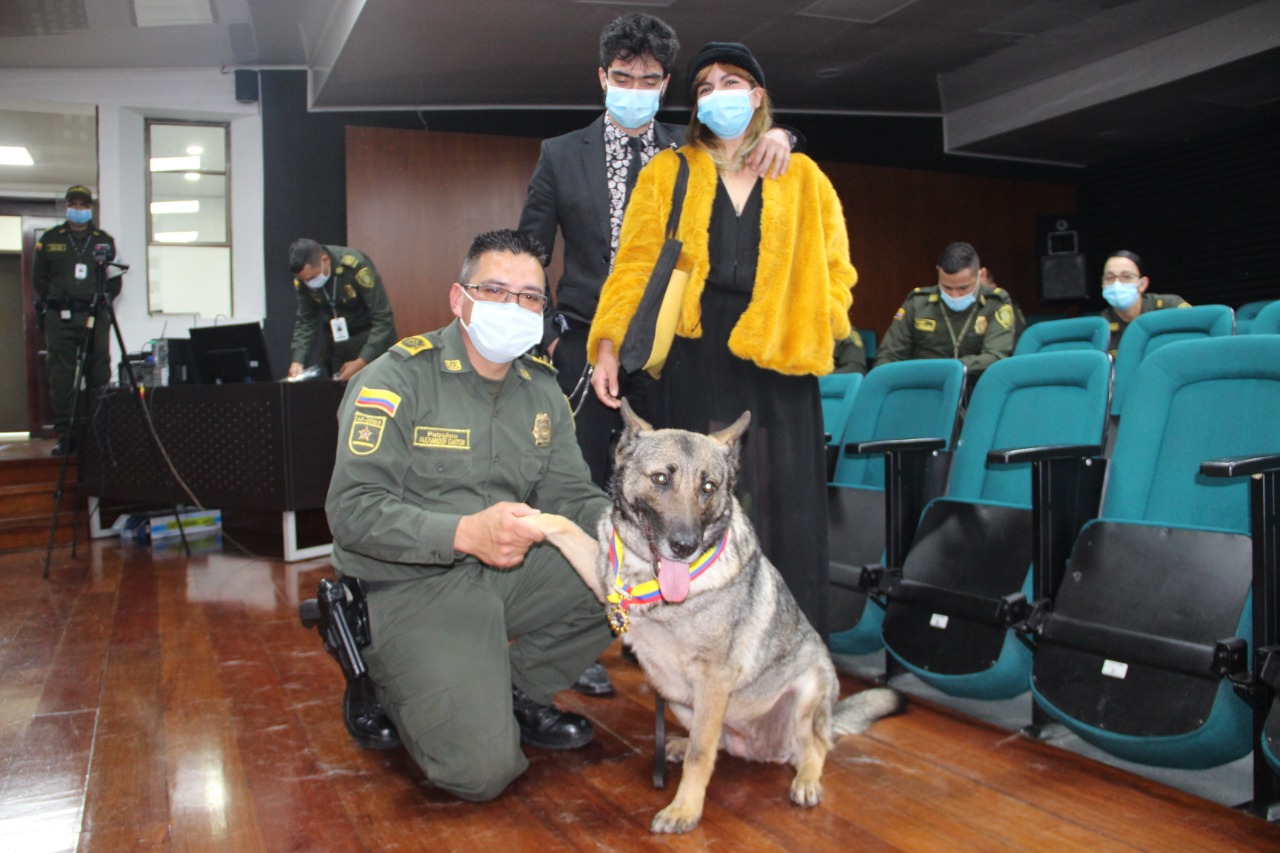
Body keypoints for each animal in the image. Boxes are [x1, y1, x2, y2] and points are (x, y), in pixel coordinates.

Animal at [519, 399, 901, 829]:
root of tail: (761, 749)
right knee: (718, 741)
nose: (685, 545)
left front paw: (685, 809)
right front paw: (512, 519)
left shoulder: (715, 677)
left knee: (812, 747)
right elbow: (559, 524)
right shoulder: (605, 581)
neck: (654, 580)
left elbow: (702, 756)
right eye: (661, 479)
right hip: (680, 699)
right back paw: (680, 746)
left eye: (709, 487)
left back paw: (806, 781)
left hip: (806, 691)